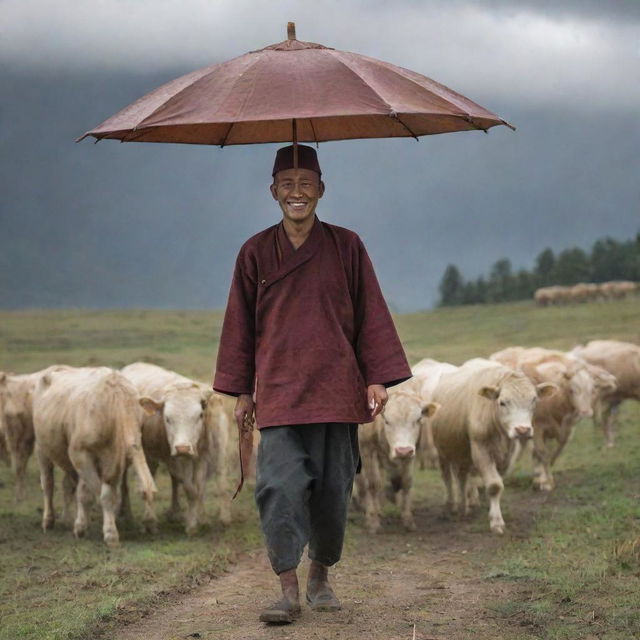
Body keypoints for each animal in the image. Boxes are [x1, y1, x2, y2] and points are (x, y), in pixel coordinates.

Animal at [32, 364, 158, 544]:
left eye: (141, 419)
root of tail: (57, 368)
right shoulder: (81, 455)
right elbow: (94, 495)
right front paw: (108, 531)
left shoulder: (111, 465)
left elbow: (103, 494)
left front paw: (85, 526)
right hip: (42, 449)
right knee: (48, 484)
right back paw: (48, 521)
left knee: (68, 485)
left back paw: (68, 520)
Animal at [120, 360, 230, 536]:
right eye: (167, 418)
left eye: (199, 415)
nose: (182, 448)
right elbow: (190, 489)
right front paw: (192, 525)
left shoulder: (202, 456)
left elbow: (199, 487)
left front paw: (201, 519)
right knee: (127, 481)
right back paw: (128, 514)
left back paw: (174, 512)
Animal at [356, 384, 440, 536]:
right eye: (387, 421)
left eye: (417, 420)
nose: (403, 450)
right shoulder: (367, 450)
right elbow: (373, 484)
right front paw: (373, 521)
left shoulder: (412, 453)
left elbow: (406, 482)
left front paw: (407, 519)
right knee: (361, 482)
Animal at [432, 360, 556, 536]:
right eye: (502, 402)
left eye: (534, 400)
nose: (522, 430)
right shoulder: (480, 450)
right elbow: (494, 485)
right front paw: (496, 522)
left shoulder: (507, 456)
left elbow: (498, 483)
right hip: (442, 451)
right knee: (447, 477)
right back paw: (450, 507)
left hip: (463, 453)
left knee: (462, 477)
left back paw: (465, 504)